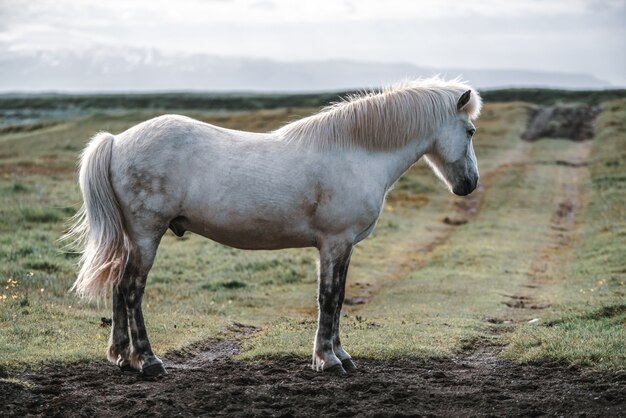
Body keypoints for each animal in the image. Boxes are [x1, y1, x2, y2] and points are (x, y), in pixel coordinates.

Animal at [67, 76, 478, 378]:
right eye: (471, 131)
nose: (470, 184)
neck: (355, 152)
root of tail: (117, 141)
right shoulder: (334, 243)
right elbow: (329, 298)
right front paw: (328, 360)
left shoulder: (342, 247)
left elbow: (339, 297)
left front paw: (341, 355)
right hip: (147, 236)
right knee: (131, 290)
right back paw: (148, 361)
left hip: (133, 239)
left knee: (118, 289)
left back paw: (122, 357)